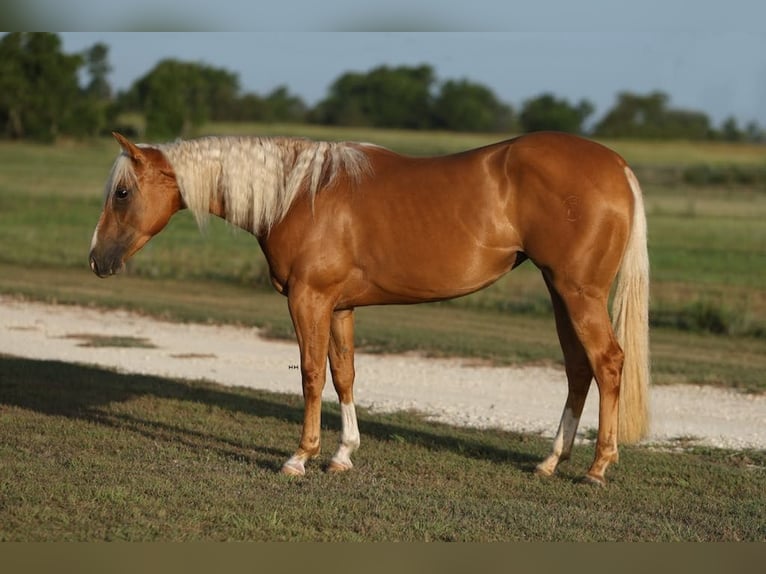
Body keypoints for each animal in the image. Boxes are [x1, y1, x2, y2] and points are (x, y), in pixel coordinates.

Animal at [89, 130, 650, 485]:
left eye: (122, 193)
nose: (96, 259)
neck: (299, 193)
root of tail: (618, 166)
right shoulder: (339, 307)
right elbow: (344, 374)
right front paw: (342, 455)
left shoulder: (309, 299)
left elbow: (311, 374)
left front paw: (300, 457)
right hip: (561, 291)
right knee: (579, 368)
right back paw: (550, 462)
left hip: (578, 292)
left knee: (608, 362)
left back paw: (597, 468)